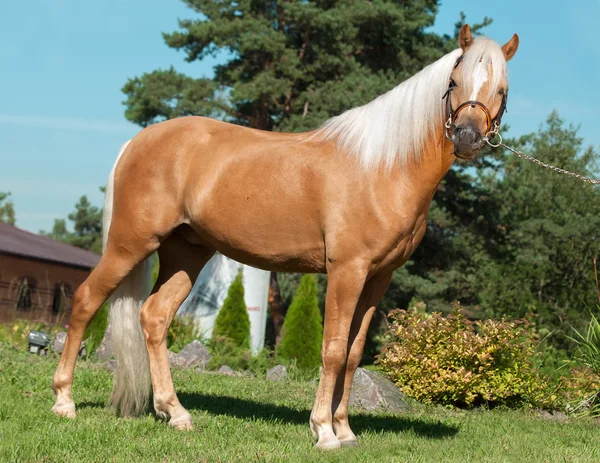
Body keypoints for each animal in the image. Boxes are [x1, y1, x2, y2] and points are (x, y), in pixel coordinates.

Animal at [51, 25, 516, 450]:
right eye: (453, 82)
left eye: (502, 89)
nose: (467, 137)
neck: (382, 167)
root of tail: (138, 141)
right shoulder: (347, 270)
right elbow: (332, 350)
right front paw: (324, 432)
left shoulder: (379, 278)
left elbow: (353, 353)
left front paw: (346, 431)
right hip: (130, 244)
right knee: (87, 301)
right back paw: (64, 402)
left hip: (186, 253)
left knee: (154, 317)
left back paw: (175, 412)